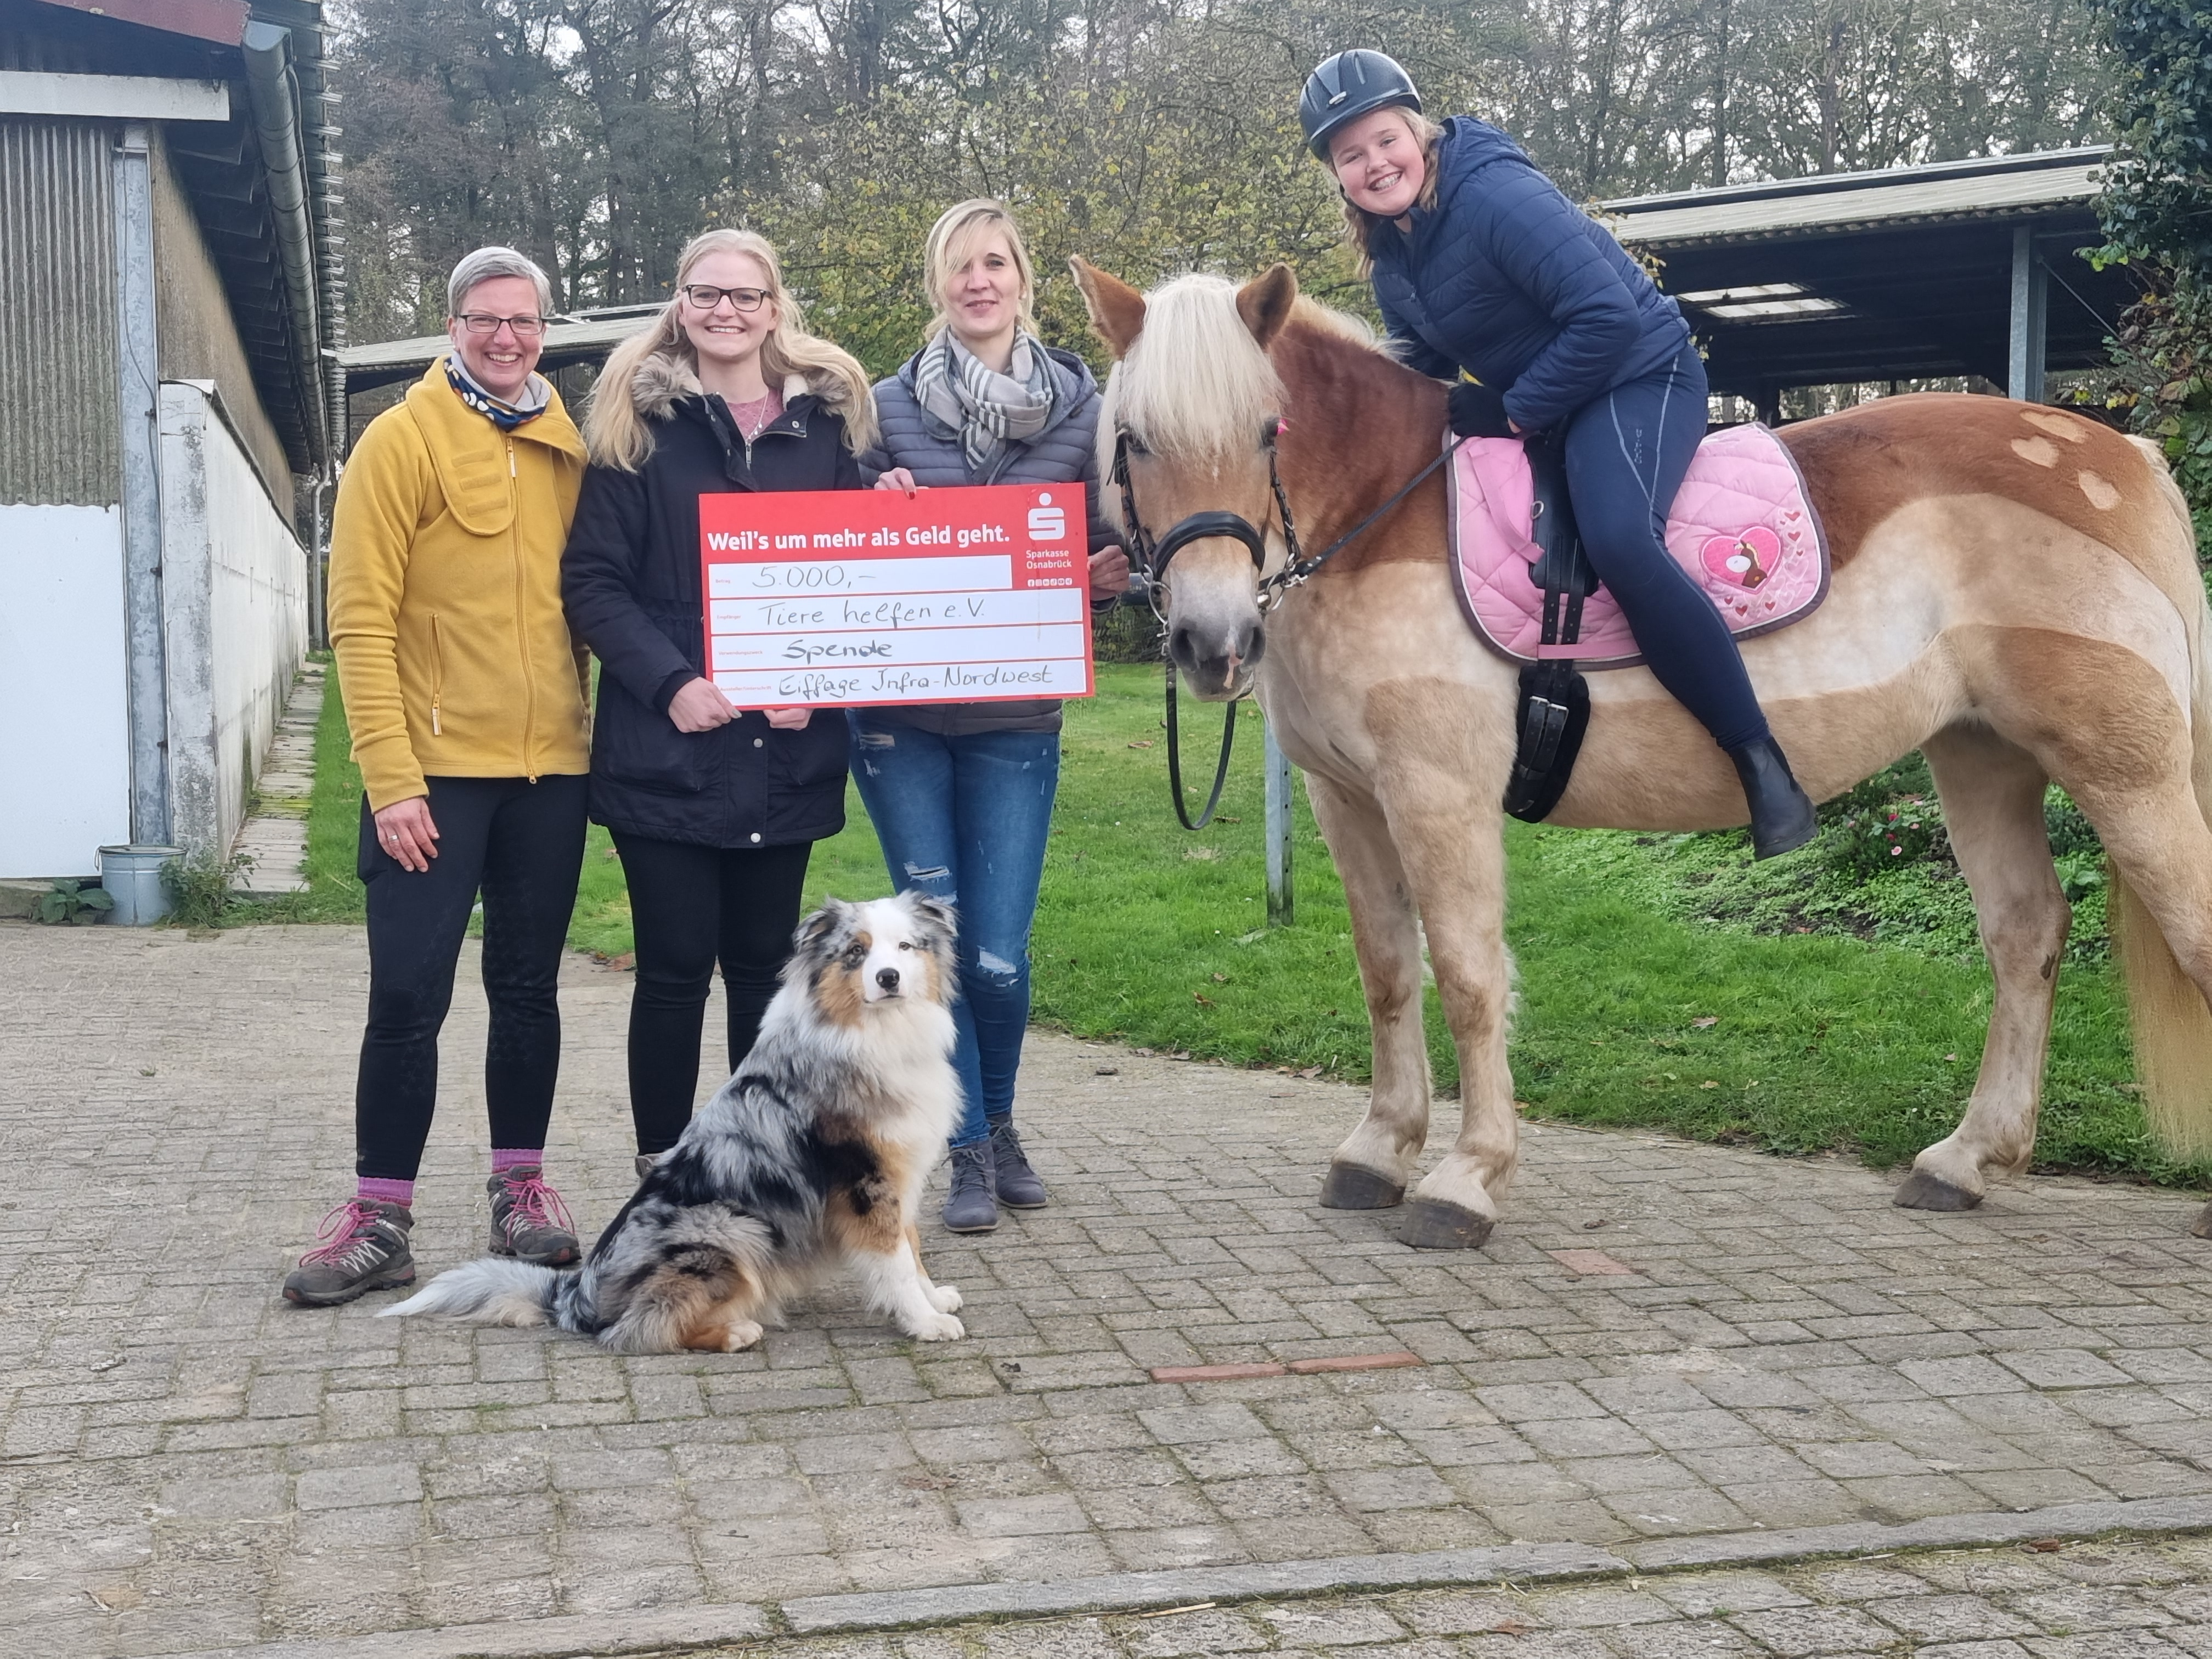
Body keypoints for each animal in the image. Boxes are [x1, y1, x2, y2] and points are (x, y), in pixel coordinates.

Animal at [382, 898, 969, 1353]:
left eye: (905, 948)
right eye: (856, 953)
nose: (888, 979)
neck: (873, 1033)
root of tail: (573, 1294)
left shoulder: (897, 1173)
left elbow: (912, 1245)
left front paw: (933, 1298)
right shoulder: (863, 1182)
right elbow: (894, 1261)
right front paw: (924, 1322)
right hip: (732, 1228)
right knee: (638, 1331)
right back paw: (735, 1332)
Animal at [1079, 256, 2212, 1248]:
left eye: (1267, 428)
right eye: (1132, 440)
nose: (1212, 641)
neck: (1382, 517)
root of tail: (2125, 457)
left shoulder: (1437, 794)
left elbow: (1468, 976)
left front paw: (1465, 1177)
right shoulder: (1345, 798)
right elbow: (1387, 971)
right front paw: (1377, 1149)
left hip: (2126, 770)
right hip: (1978, 752)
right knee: (2024, 933)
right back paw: (1965, 1159)